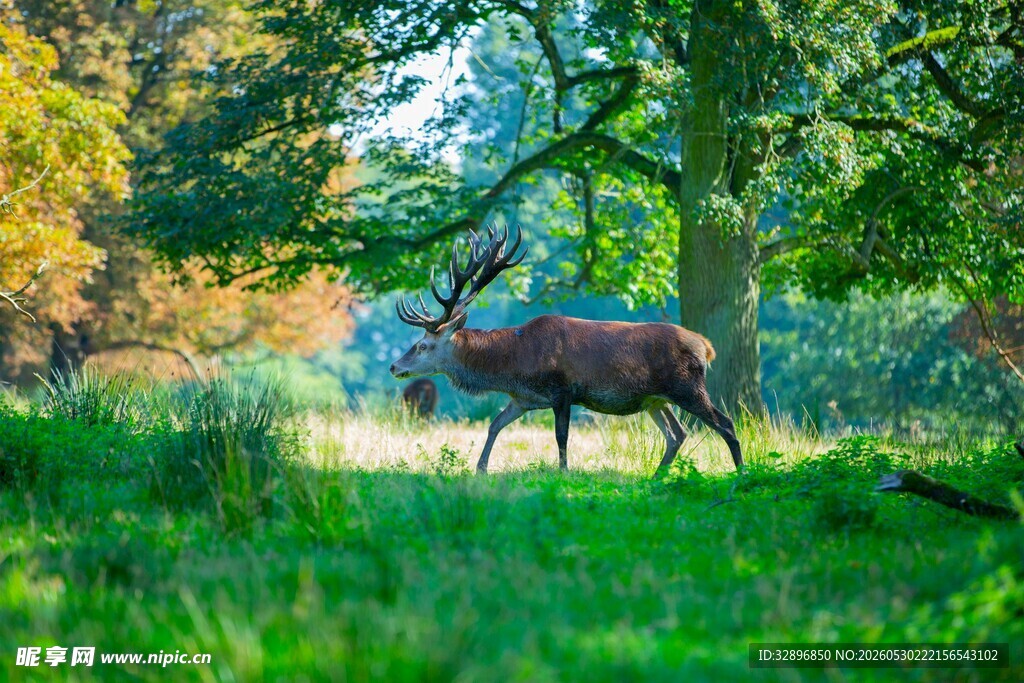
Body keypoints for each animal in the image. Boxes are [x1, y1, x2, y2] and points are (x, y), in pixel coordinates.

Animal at [389, 225, 743, 476]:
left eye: (422, 345)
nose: (394, 366)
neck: (513, 366)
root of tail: (706, 346)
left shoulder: (563, 390)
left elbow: (561, 436)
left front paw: (563, 473)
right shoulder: (523, 399)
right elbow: (494, 425)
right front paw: (480, 469)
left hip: (687, 387)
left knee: (725, 423)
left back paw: (741, 474)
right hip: (655, 399)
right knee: (677, 434)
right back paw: (657, 477)